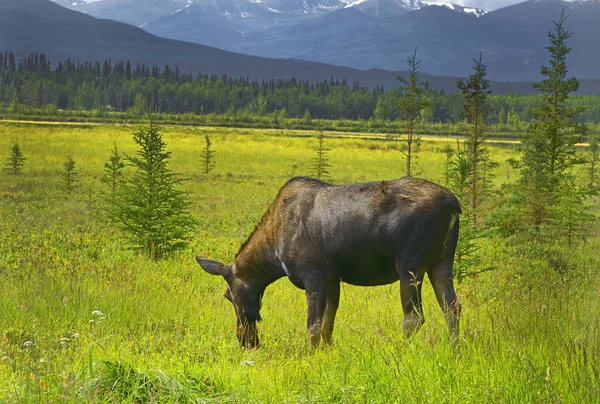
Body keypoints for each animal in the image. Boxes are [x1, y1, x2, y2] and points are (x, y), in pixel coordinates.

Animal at [199, 176, 462, 348]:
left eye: (228, 295)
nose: (246, 341)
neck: (272, 255)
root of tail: (454, 205)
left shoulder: (314, 276)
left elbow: (313, 325)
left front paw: (312, 355)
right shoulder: (333, 279)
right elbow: (328, 322)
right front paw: (327, 352)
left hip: (410, 265)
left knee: (414, 316)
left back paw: (403, 351)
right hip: (441, 262)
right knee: (452, 308)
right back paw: (455, 351)